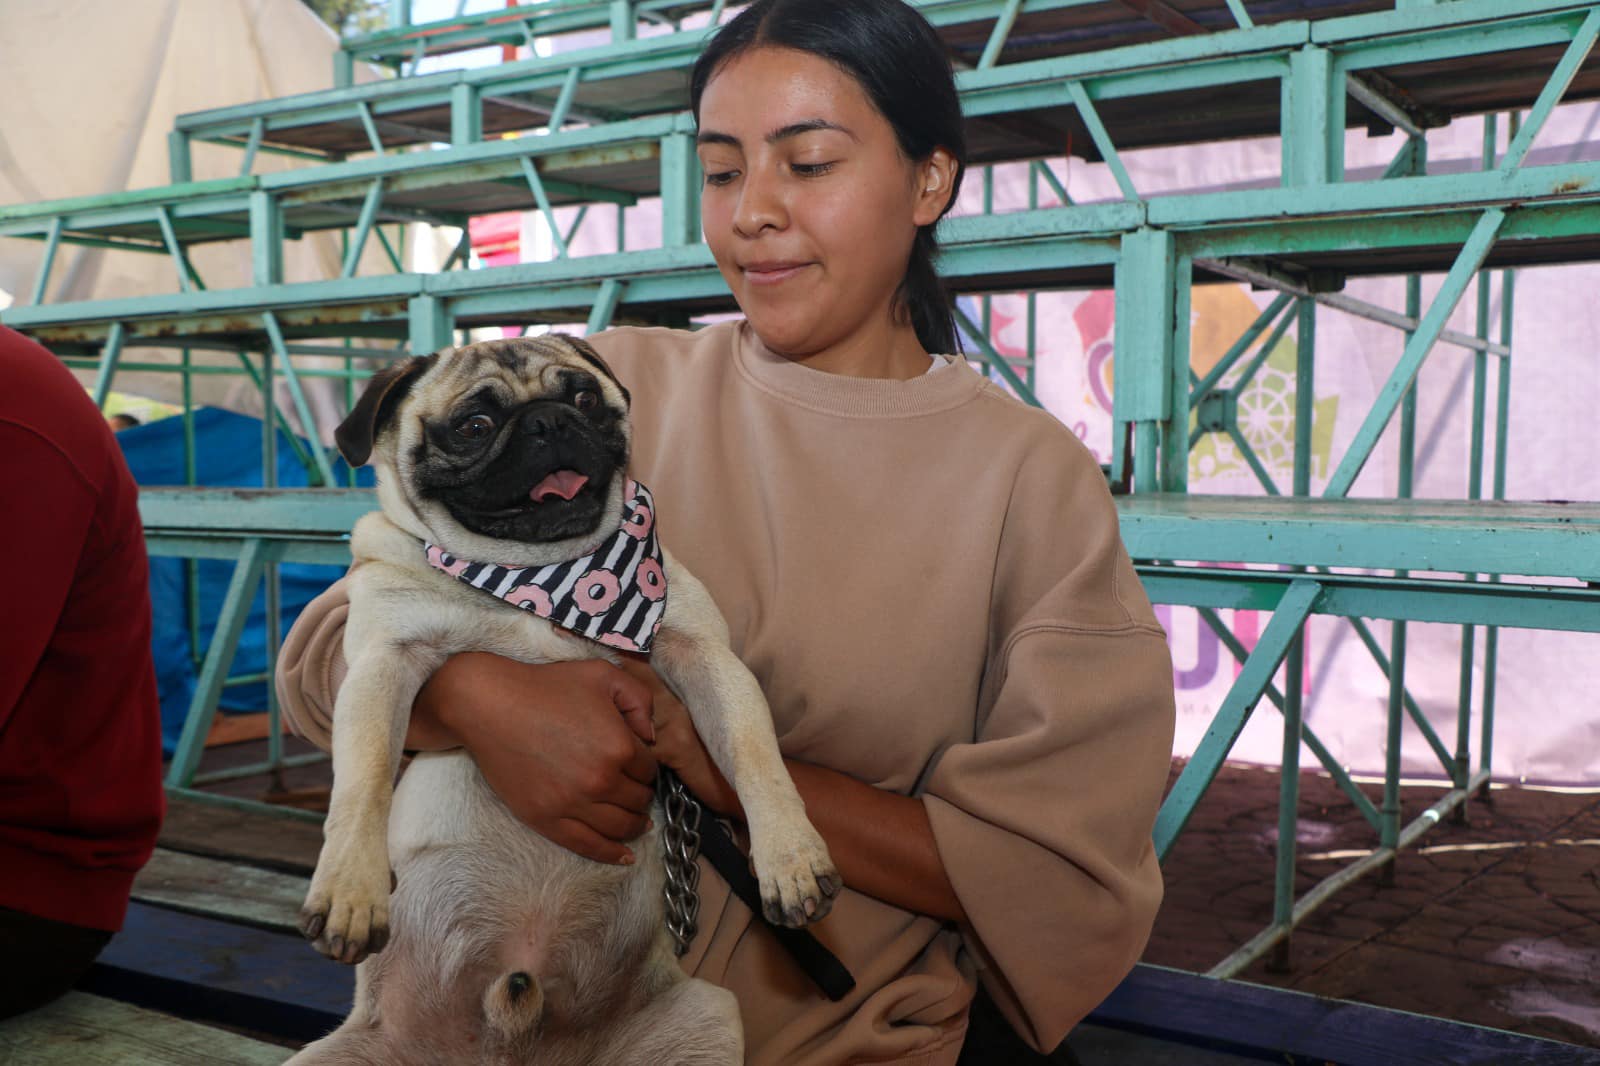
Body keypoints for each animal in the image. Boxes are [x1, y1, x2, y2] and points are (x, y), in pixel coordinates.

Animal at [286, 334, 838, 1062]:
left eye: (584, 398)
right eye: (474, 426)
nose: (548, 422)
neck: (540, 578)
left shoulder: (706, 656)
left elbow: (754, 759)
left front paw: (790, 858)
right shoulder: (383, 664)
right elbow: (364, 785)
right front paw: (351, 888)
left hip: (708, 1015)